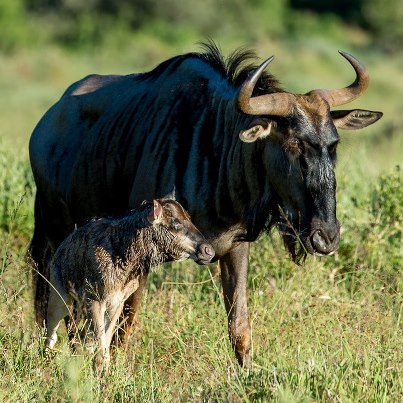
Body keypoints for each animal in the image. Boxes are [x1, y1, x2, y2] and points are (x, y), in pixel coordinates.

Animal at [45, 198, 215, 372]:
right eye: (176, 223)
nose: (208, 251)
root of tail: (59, 249)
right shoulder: (94, 299)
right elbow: (100, 344)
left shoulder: (117, 302)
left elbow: (104, 341)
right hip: (59, 298)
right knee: (51, 332)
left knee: (82, 336)